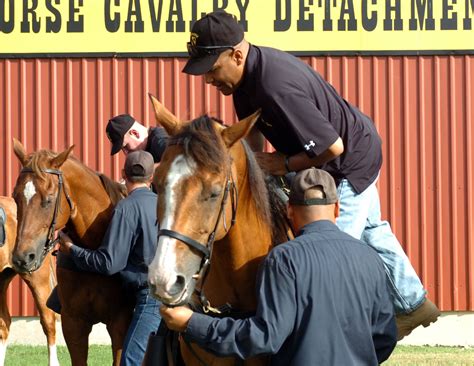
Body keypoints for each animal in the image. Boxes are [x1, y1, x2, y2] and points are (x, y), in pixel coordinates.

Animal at [11, 139, 133, 364]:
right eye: (15, 197)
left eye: (49, 199)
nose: (23, 258)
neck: (93, 256)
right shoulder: (73, 323)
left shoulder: (121, 323)